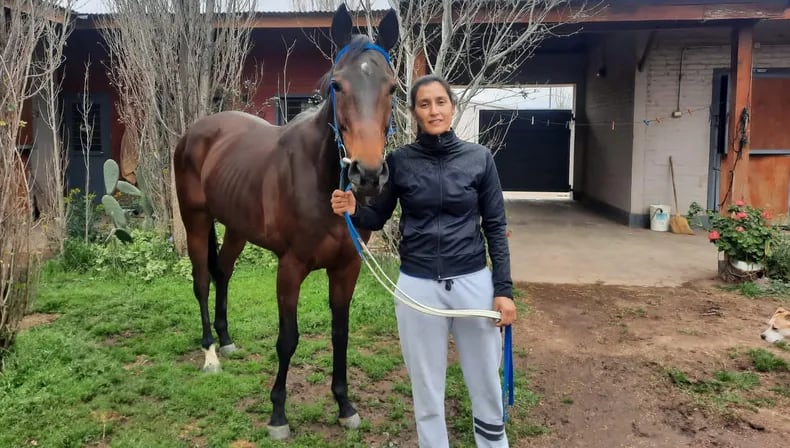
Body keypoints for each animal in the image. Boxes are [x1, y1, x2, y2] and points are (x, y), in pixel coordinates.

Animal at [171, 3, 400, 440]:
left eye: (393, 88)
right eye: (337, 86)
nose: (367, 174)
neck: (321, 179)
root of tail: (196, 131)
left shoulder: (347, 267)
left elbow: (340, 333)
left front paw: (345, 406)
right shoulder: (290, 268)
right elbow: (288, 339)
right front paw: (278, 414)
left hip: (237, 228)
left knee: (223, 272)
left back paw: (226, 339)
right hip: (196, 220)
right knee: (202, 280)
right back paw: (210, 352)